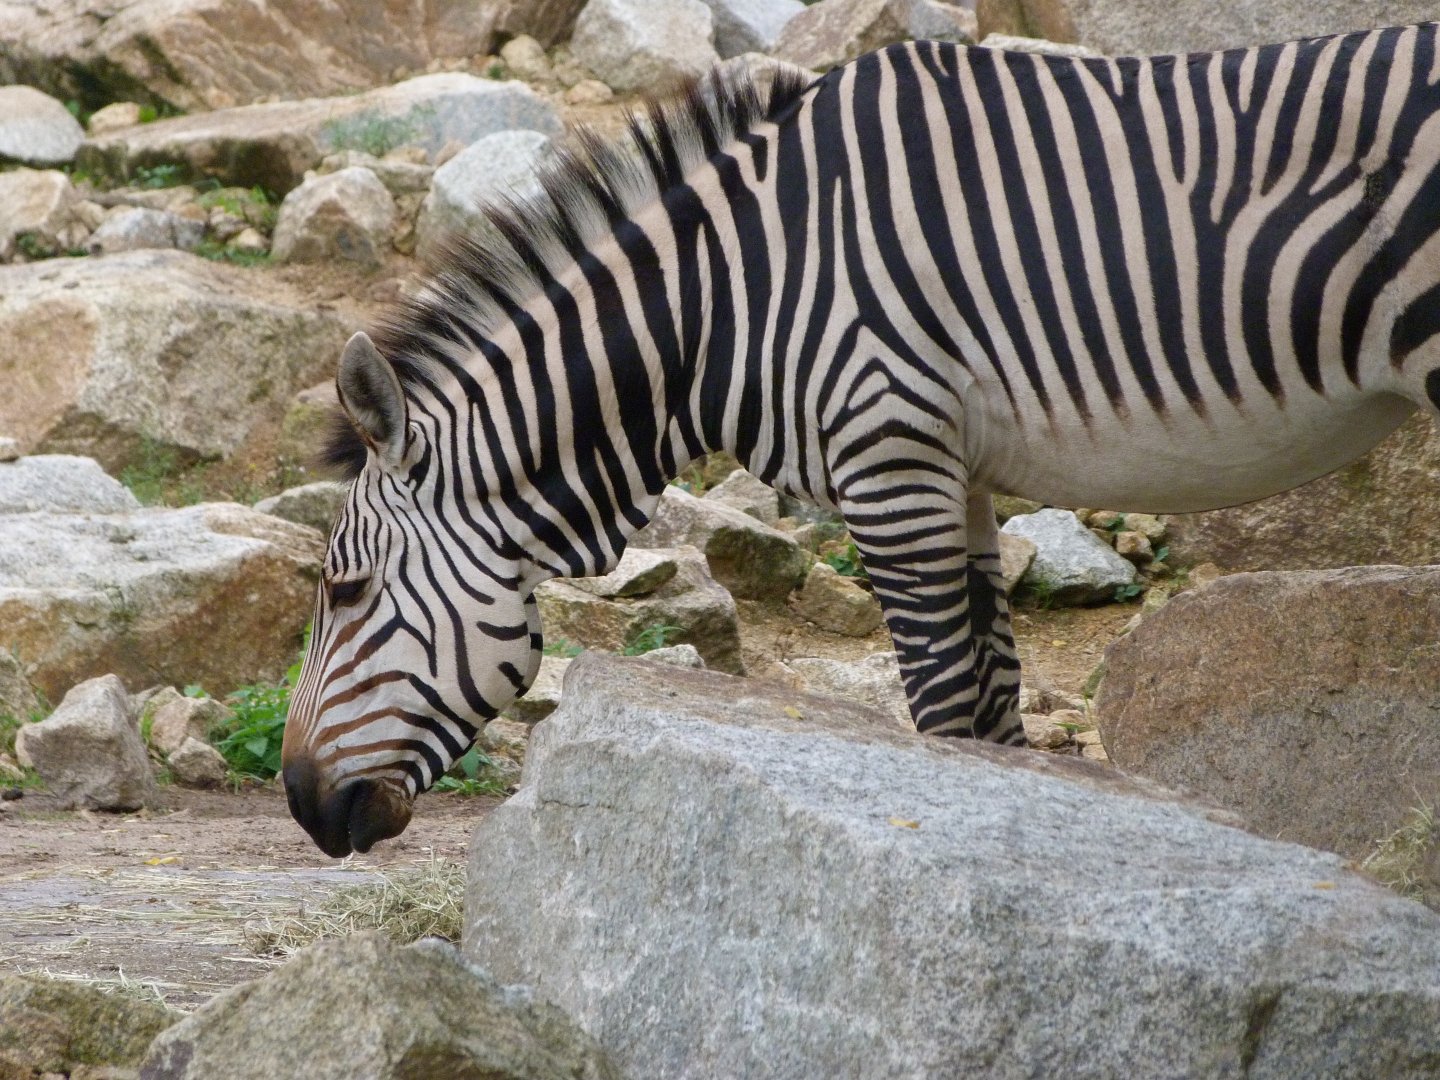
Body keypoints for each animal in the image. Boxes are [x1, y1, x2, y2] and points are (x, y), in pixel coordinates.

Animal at [282, 24, 1440, 856]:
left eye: (346, 590)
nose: (298, 803)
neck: (725, 302)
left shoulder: (889, 458)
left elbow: (943, 710)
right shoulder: (956, 472)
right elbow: (993, 714)